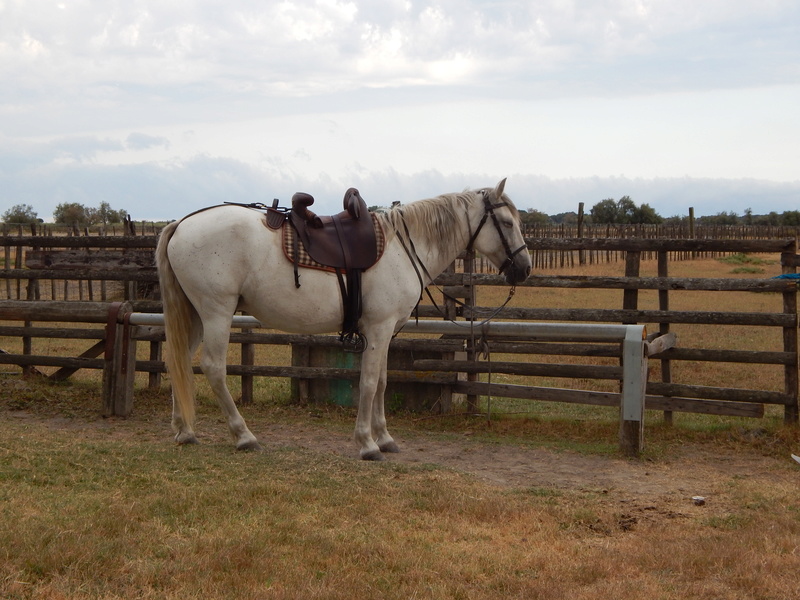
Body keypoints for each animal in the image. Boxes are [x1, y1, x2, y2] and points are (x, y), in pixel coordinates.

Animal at [155, 178, 532, 460]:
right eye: (508, 223)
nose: (525, 269)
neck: (402, 247)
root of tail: (181, 224)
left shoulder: (385, 332)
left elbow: (382, 382)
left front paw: (385, 438)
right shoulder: (378, 329)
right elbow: (368, 383)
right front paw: (367, 443)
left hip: (196, 315)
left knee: (178, 360)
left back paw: (184, 431)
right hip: (217, 312)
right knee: (213, 367)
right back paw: (243, 435)